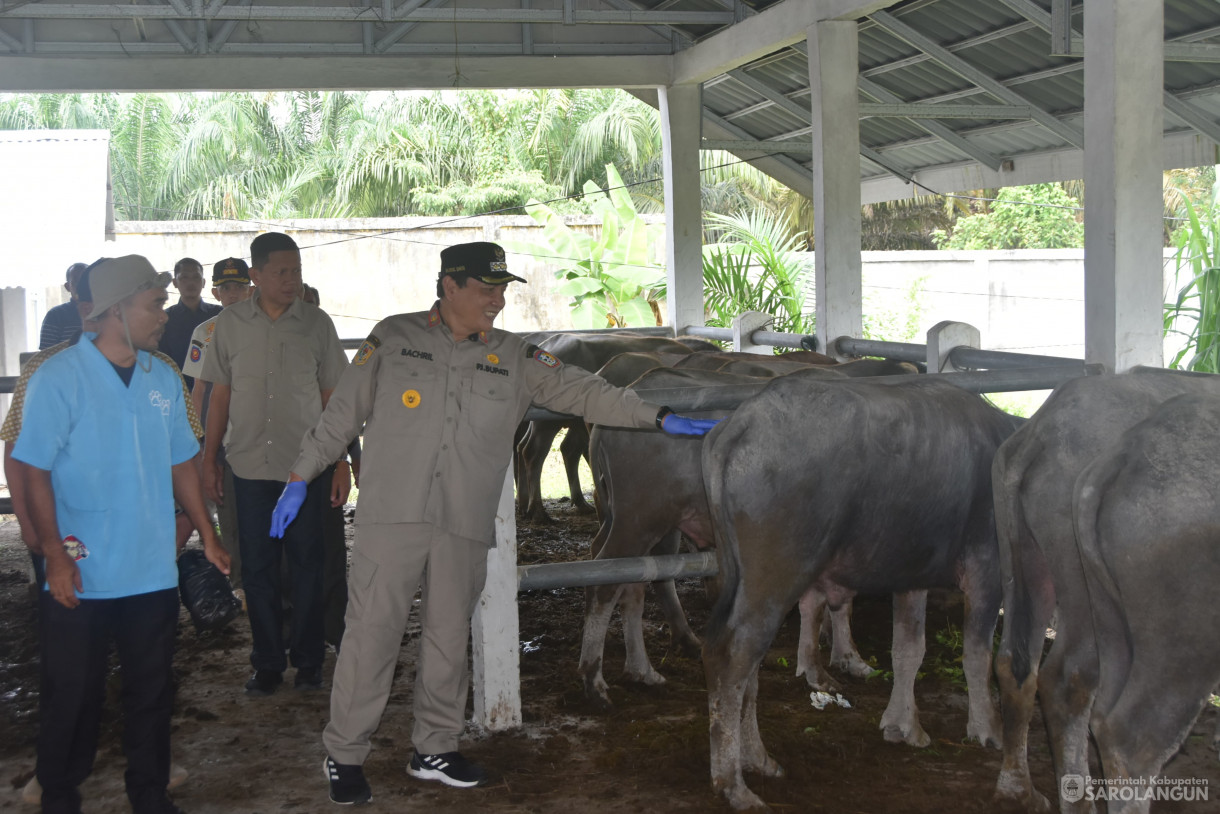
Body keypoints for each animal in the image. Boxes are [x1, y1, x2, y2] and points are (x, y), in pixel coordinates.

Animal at [697, 375, 1019, 810]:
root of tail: (741, 423)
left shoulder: (910, 575)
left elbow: (908, 650)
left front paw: (903, 725)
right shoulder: (988, 567)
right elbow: (977, 655)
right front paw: (989, 729)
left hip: (742, 578)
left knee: (748, 664)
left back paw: (757, 759)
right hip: (774, 579)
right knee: (730, 657)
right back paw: (733, 784)